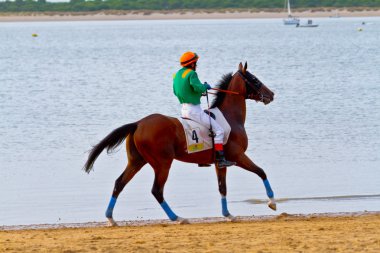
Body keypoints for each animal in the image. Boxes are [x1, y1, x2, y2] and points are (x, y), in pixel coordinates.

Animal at [84, 61, 276, 225]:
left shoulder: (220, 163)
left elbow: (223, 187)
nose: (271, 94)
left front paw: (228, 215)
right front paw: (272, 202)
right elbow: (262, 172)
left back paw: (111, 218)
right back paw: (177, 218)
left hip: (137, 161)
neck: (230, 117)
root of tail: (138, 123)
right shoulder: (238, 155)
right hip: (162, 163)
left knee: (119, 184)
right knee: (156, 190)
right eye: (255, 79)